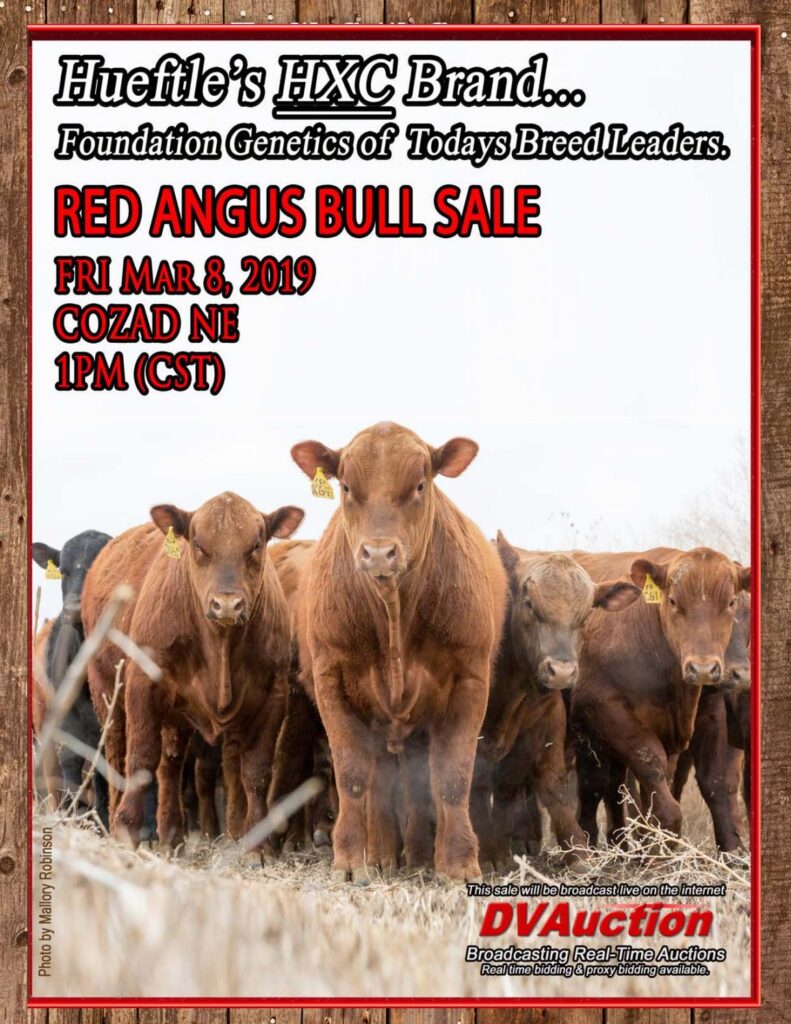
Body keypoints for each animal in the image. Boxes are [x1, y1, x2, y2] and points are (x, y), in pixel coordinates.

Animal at [81, 492, 303, 853]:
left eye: (255, 544)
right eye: (198, 544)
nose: (227, 604)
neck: (220, 647)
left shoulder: (273, 694)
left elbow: (256, 771)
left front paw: (260, 845)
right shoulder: (142, 684)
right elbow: (141, 757)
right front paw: (127, 828)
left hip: (176, 717)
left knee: (170, 765)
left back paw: (172, 833)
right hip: (106, 694)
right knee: (117, 757)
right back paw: (117, 818)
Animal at [290, 422, 507, 883]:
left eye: (420, 485)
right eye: (346, 486)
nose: (378, 553)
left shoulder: (470, 681)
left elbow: (452, 777)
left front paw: (458, 861)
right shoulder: (331, 683)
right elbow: (352, 775)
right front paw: (351, 858)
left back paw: (416, 854)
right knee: (378, 783)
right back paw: (381, 854)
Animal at [472, 535, 641, 873]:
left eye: (586, 613)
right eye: (529, 604)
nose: (561, 671)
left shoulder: (545, 727)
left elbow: (550, 789)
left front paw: (577, 852)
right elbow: (475, 788)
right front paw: (488, 854)